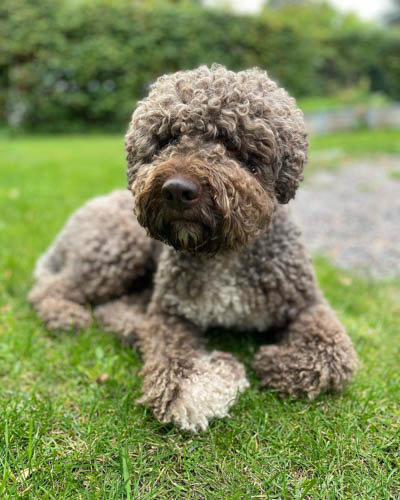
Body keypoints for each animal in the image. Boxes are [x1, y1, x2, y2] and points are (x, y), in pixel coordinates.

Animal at [28, 64, 360, 432]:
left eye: (229, 140)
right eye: (168, 139)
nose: (176, 190)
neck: (225, 253)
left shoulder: (307, 303)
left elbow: (334, 355)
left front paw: (273, 360)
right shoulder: (170, 314)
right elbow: (183, 385)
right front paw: (222, 369)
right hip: (117, 252)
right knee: (53, 289)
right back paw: (67, 315)